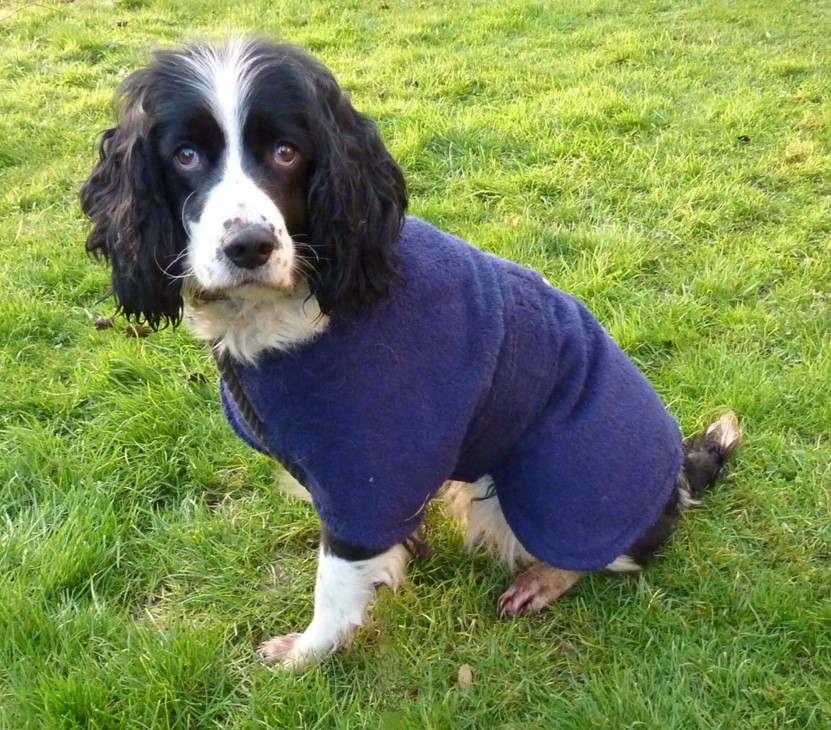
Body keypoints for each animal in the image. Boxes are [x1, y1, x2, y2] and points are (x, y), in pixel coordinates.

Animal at [79, 38, 740, 664]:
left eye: (286, 151)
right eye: (185, 155)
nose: (249, 246)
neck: (304, 302)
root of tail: (681, 473)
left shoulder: (367, 475)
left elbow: (334, 585)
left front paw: (306, 655)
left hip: (543, 491)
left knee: (619, 554)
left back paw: (545, 578)